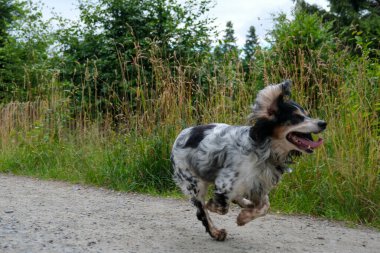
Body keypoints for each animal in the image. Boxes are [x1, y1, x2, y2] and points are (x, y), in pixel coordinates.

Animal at [171, 81, 326, 241]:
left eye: (306, 115)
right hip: (194, 184)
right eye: (296, 117)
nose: (323, 123)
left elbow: (265, 207)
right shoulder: (225, 182)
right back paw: (216, 232)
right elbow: (220, 207)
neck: (265, 150)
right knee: (202, 211)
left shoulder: (259, 185)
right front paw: (219, 207)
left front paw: (243, 217)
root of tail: (181, 135)